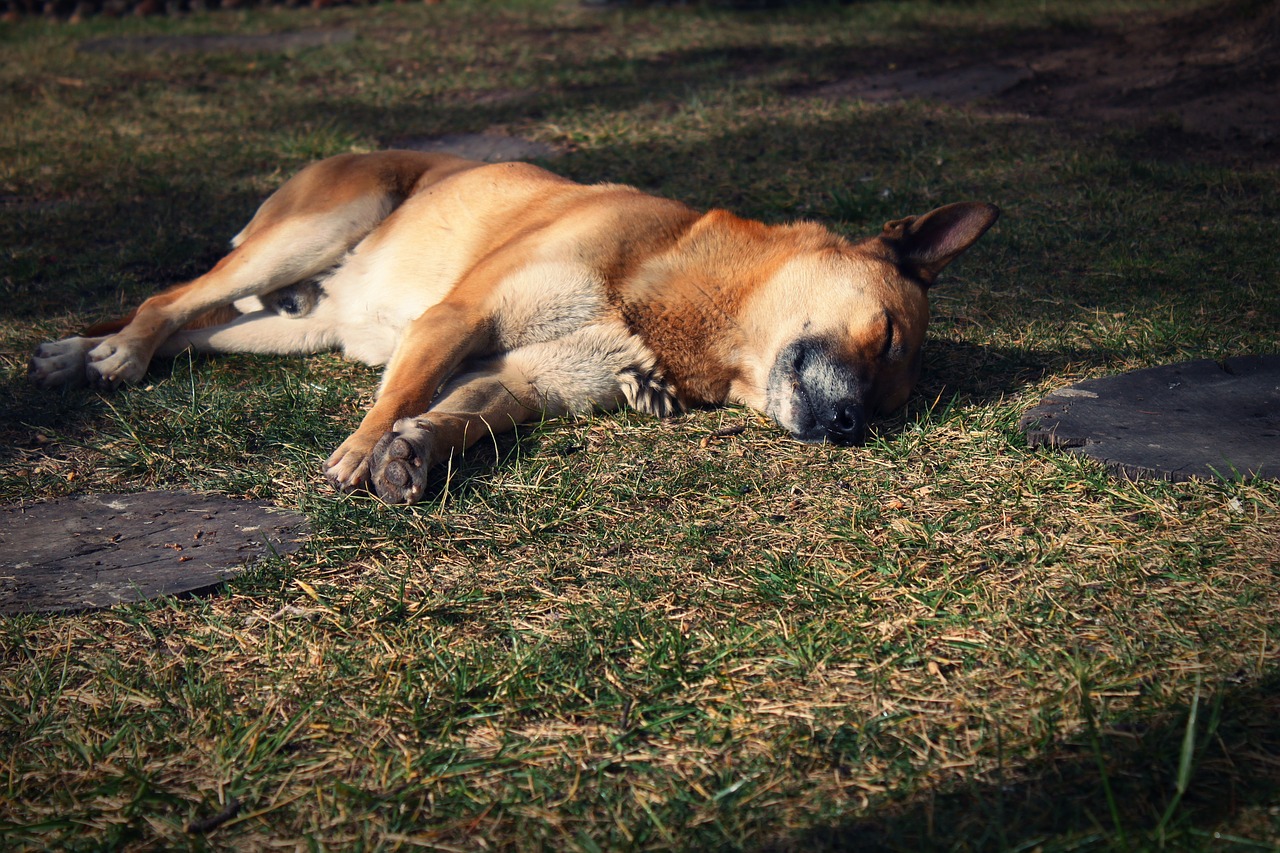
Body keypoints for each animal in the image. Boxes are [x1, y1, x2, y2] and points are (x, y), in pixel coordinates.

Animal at [24, 151, 993, 502]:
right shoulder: (461, 314)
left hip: (290, 326)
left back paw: (81, 352)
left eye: (895, 401)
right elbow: (403, 390)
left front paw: (412, 451)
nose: (851, 426)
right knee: (170, 302)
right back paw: (112, 352)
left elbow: (462, 415)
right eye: (889, 338)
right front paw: (362, 449)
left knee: (193, 323)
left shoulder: (524, 380)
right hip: (309, 233)